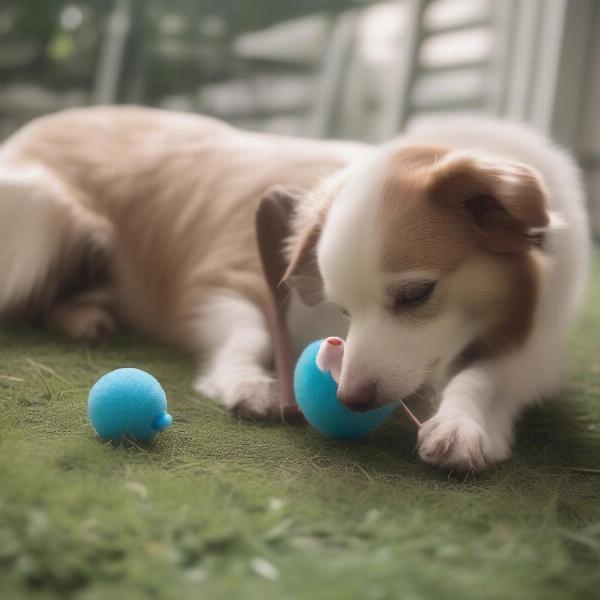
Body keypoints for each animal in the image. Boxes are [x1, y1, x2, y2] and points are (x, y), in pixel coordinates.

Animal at [0, 109, 592, 474]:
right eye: (343, 308)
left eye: (415, 294)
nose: (350, 399)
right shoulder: (230, 277)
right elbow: (250, 336)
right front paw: (246, 382)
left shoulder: (535, 351)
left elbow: (481, 377)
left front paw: (462, 424)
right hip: (43, 213)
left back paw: (87, 314)